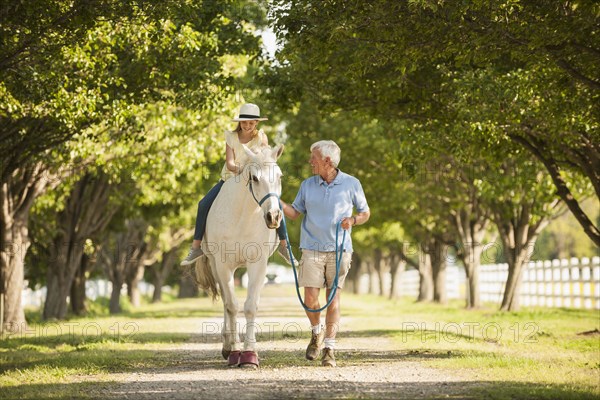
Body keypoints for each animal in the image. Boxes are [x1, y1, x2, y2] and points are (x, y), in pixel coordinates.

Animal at [195, 144, 284, 368]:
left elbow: (250, 306)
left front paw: (250, 355)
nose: (273, 217)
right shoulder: (223, 266)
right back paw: (227, 346)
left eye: (280, 176)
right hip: (216, 267)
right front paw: (235, 351)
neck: (243, 217)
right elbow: (232, 306)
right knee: (226, 303)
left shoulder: (258, 265)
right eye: (254, 178)